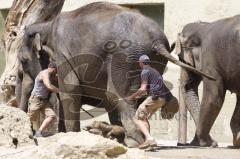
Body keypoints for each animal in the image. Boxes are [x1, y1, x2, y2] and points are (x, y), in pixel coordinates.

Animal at [17, 1, 213, 148]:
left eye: (23, 61)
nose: (32, 135)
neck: (46, 25)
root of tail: (158, 42)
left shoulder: (64, 55)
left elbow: (70, 91)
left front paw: (72, 137)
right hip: (148, 62)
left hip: (124, 59)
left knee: (117, 95)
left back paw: (134, 142)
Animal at [175, 14, 240, 147]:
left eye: (181, 58)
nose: (214, 143)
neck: (202, 27)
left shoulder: (210, 58)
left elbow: (213, 98)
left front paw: (200, 143)